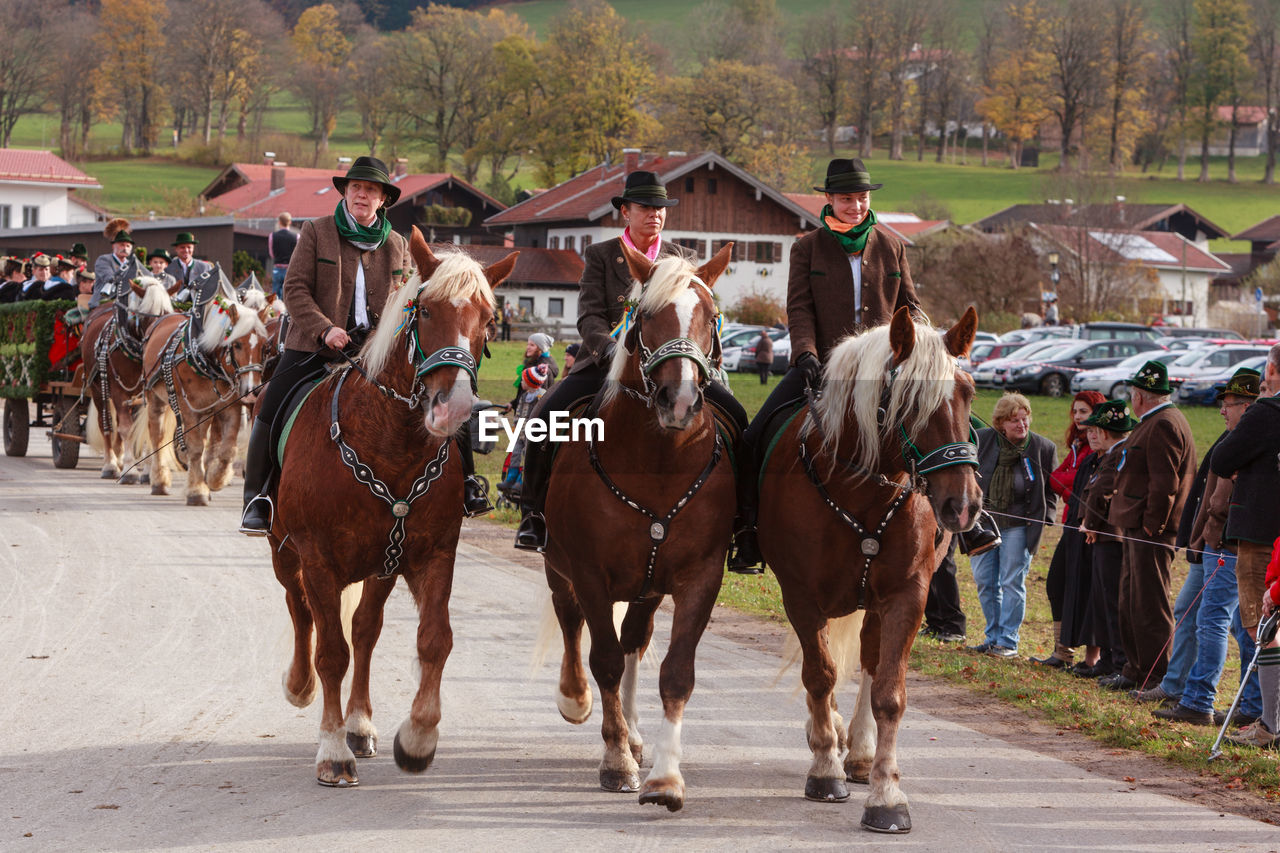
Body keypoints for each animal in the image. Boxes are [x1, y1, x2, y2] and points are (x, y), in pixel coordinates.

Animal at [81, 275, 184, 481]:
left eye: (168, 313)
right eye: (145, 316)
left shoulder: (149, 393)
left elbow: (147, 429)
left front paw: (147, 471)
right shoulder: (118, 391)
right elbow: (127, 429)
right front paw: (129, 469)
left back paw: (119, 459)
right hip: (98, 389)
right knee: (107, 424)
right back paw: (110, 465)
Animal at [268, 227, 514, 783]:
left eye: (489, 319)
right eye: (425, 310)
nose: (455, 408)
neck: (392, 444)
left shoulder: (432, 554)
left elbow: (433, 639)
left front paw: (418, 738)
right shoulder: (317, 558)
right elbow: (330, 652)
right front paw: (332, 750)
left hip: (381, 565)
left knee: (364, 631)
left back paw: (360, 724)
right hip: (283, 550)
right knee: (299, 608)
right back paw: (299, 687)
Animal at [542, 240, 742, 809]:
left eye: (711, 316)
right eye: (647, 316)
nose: (680, 401)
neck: (659, 460)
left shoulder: (700, 577)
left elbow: (675, 672)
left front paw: (664, 777)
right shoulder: (588, 573)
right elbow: (604, 659)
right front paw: (615, 764)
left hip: (648, 586)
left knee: (634, 636)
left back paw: (633, 733)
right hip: (560, 569)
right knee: (572, 624)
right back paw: (578, 701)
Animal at [757, 303, 977, 829]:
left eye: (967, 393)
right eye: (910, 401)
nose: (963, 505)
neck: (863, 490)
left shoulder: (905, 596)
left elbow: (888, 693)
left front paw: (886, 794)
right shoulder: (800, 594)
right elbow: (820, 674)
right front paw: (824, 769)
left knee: (871, 665)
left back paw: (858, 750)